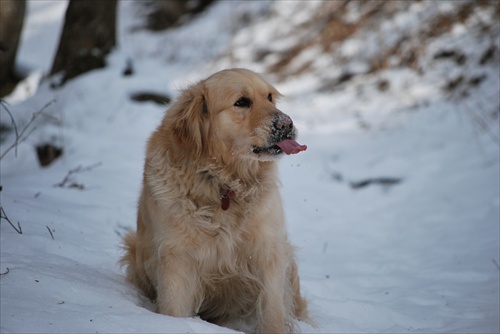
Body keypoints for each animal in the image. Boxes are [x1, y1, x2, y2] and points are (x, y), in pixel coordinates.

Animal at [120, 69, 308, 332]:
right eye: (242, 102)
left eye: (270, 97)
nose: (286, 123)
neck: (224, 184)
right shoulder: (176, 259)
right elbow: (174, 309)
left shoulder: (268, 252)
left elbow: (273, 312)